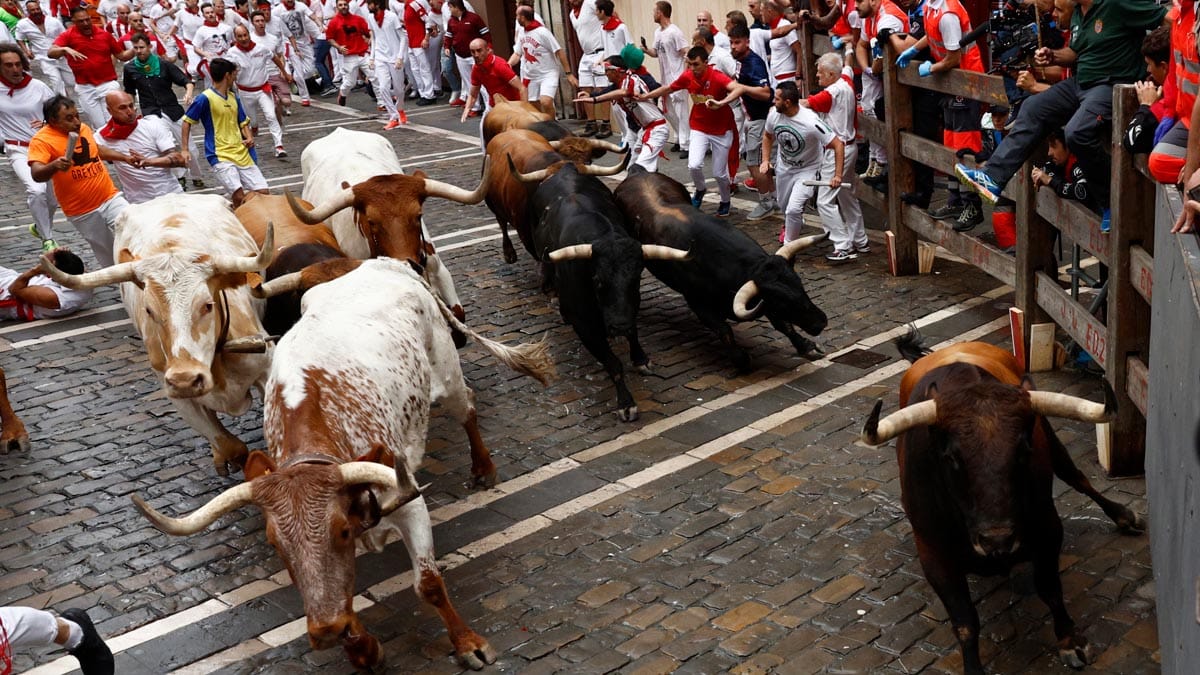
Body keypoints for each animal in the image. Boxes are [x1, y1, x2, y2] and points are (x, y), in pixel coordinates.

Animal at [40, 192, 274, 475]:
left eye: (208, 305)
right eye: (149, 310)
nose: (186, 379)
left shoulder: (267, 367)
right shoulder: (177, 396)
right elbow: (231, 446)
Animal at [132, 255, 556, 667]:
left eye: (342, 532)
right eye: (275, 543)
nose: (325, 632)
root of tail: (383, 263)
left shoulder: (408, 500)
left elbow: (429, 585)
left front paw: (468, 643)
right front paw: (361, 646)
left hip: (446, 371)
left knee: (466, 406)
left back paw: (483, 468)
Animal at [619, 166, 825, 367]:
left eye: (800, 284)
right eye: (780, 299)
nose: (820, 322)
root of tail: (638, 173)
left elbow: (784, 325)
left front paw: (807, 347)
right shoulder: (698, 302)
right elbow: (724, 330)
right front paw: (740, 359)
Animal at [864, 336, 1142, 672]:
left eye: (1023, 450)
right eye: (951, 457)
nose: (997, 539)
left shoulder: (1048, 529)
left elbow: (1050, 588)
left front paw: (1070, 640)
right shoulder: (933, 556)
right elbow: (965, 622)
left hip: (1054, 442)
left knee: (1079, 479)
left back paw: (1124, 516)